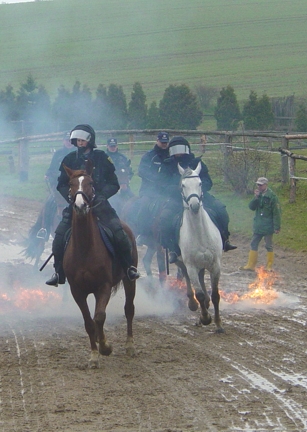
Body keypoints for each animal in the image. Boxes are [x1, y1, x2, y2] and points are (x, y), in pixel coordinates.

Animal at [62, 160, 137, 366]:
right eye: (70, 184)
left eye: (90, 183)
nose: (80, 206)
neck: (84, 248)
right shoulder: (77, 291)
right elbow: (89, 322)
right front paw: (94, 355)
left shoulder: (103, 286)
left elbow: (100, 317)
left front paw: (105, 347)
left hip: (129, 280)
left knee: (129, 309)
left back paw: (129, 345)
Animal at [177, 163, 225, 334]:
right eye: (183, 185)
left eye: (200, 183)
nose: (194, 205)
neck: (200, 233)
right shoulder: (191, 265)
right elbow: (199, 294)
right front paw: (205, 318)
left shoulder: (215, 265)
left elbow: (215, 295)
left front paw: (218, 324)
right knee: (188, 279)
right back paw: (194, 305)